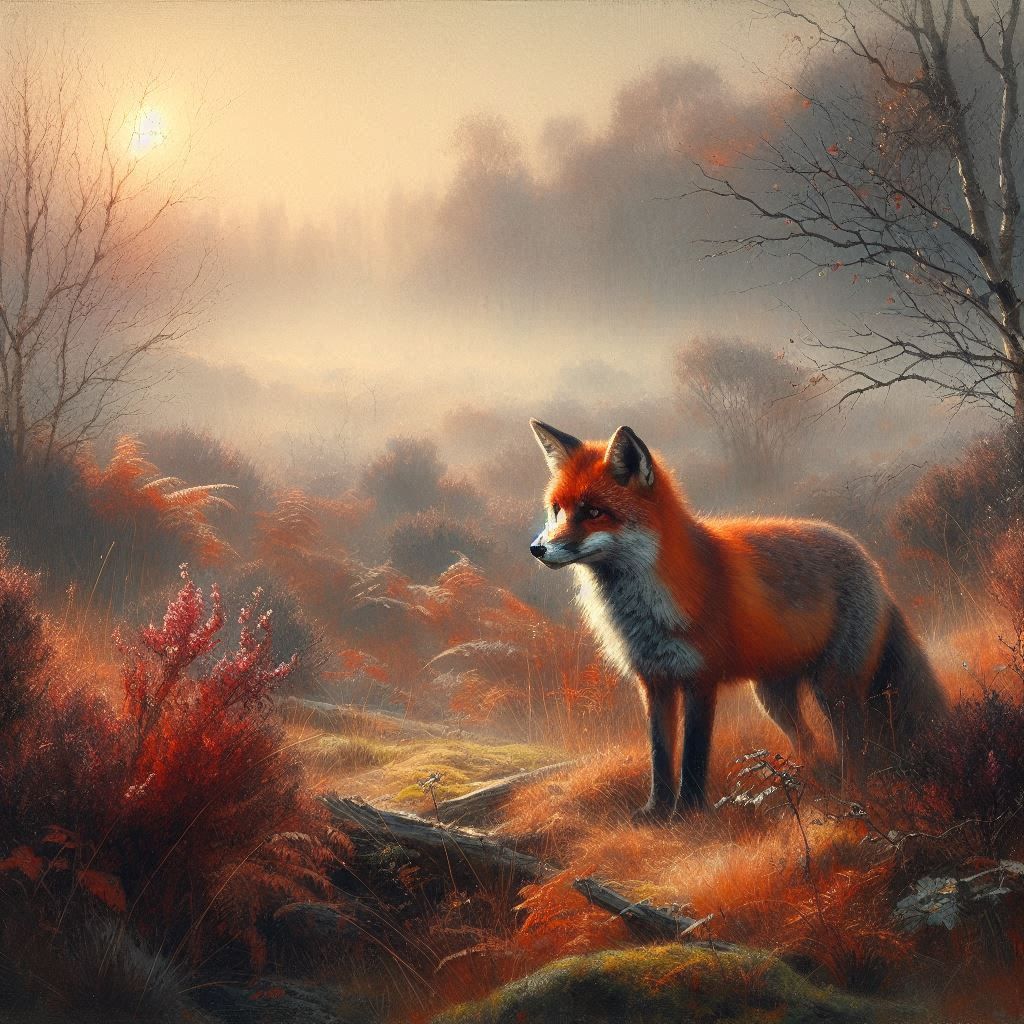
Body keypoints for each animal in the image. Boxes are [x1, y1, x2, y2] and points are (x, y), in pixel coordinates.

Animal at [528, 419, 947, 820]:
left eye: (593, 512)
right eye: (557, 510)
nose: (537, 549)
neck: (644, 612)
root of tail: (872, 566)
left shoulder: (700, 679)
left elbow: (694, 756)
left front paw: (687, 814)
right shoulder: (655, 682)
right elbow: (660, 755)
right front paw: (656, 812)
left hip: (834, 689)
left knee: (856, 747)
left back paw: (852, 796)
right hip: (773, 697)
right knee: (809, 741)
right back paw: (819, 786)